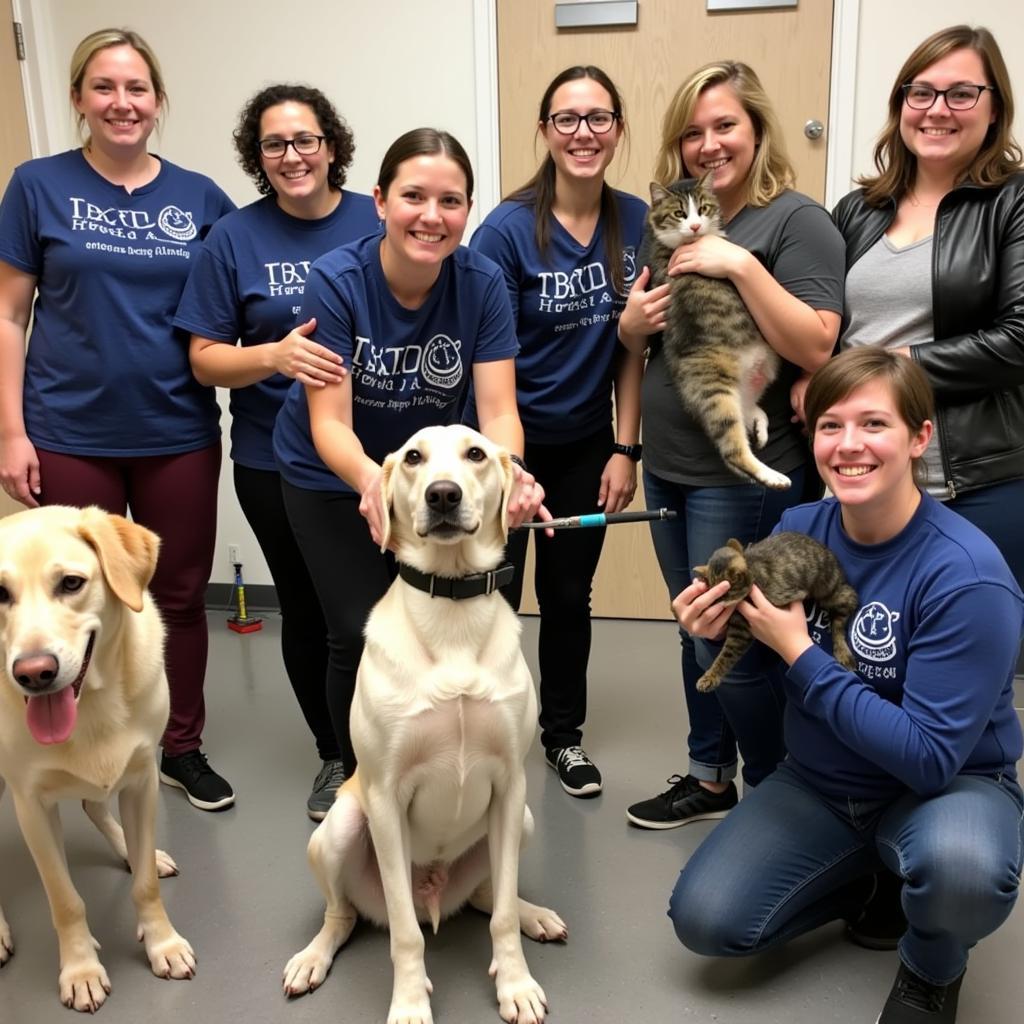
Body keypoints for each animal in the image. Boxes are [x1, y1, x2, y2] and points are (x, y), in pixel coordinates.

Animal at [0, 503, 195, 1007]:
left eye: (71, 583)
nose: (34, 673)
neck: (92, 704)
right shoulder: (30, 805)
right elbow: (65, 900)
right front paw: (80, 969)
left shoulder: (142, 781)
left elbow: (144, 884)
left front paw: (163, 944)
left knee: (94, 805)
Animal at [284, 425, 565, 1024]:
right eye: (413, 458)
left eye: (475, 454)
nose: (442, 495)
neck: (453, 606)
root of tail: (434, 893)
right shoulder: (385, 798)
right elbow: (405, 936)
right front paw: (410, 1004)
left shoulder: (511, 786)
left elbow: (502, 916)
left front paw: (516, 985)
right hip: (340, 829)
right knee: (344, 915)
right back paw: (313, 958)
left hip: (523, 820)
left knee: (488, 896)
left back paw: (534, 914)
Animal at [643, 178, 786, 489]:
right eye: (679, 214)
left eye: (704, 209)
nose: (696, 226)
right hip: (715, 392)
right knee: (734, 451)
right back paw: (772, 476)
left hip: (764, 368)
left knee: (750, 410)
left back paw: (760, 424)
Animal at [692, 532, 860, 692]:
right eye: (713, 593)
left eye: (723, 595)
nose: (716, 604)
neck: (753, 575)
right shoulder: (738, 627)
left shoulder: (744, 631)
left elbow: (725, 657)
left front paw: (710, 677)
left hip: (836, 594)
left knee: (841, 618)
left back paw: (843, 652)